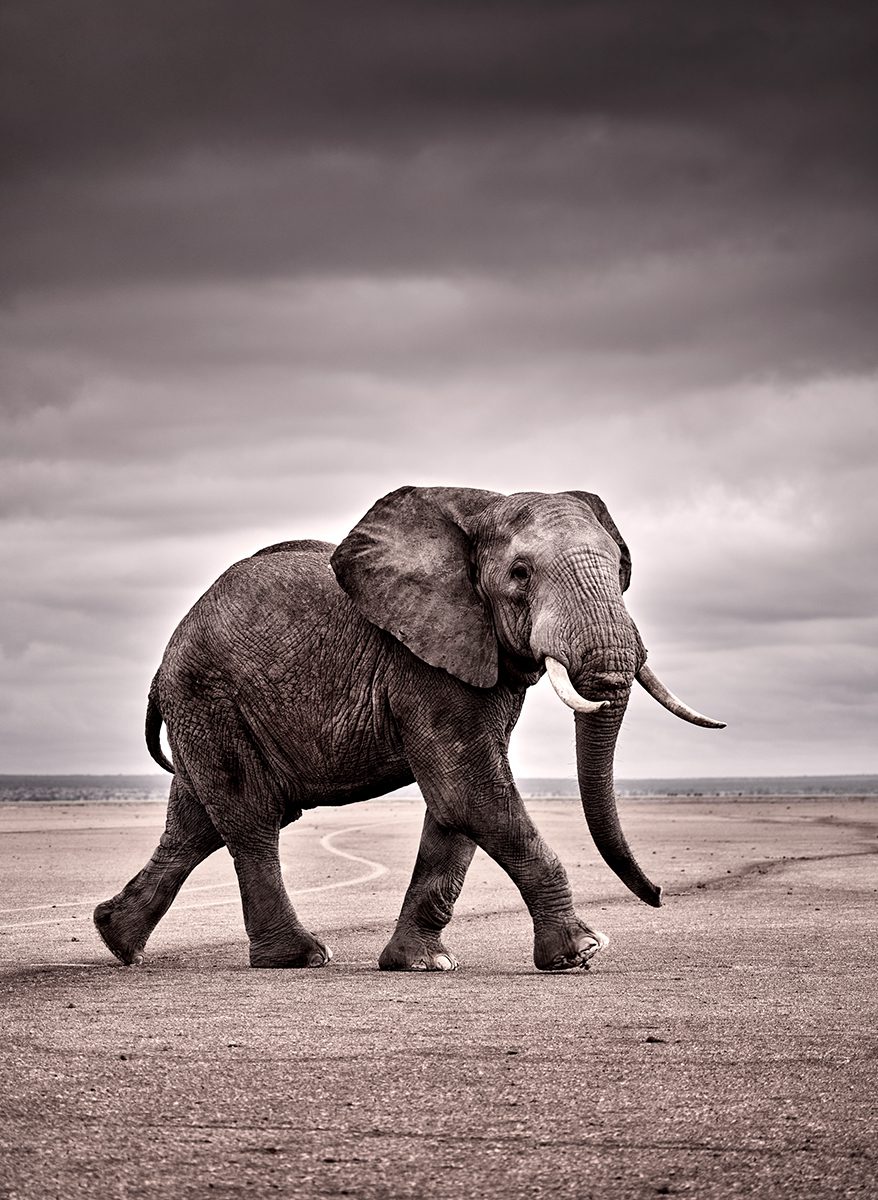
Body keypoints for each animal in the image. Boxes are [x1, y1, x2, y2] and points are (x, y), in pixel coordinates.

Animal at [97, 487, 729, 974]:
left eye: (621, 572)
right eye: (520, 573)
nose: (659, 897)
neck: (482, 508)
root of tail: (166, 658)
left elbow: (454, 810)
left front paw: (421, 964)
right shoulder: (422, 660)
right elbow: (469, 792)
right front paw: (582, 952)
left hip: (206, 706)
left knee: (198, 821)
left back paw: (117, 940)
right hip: (210, 695)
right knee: (251, 814)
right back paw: (299, 958)